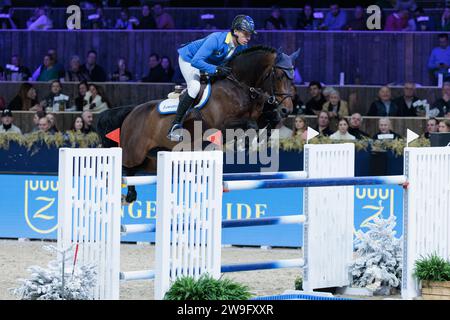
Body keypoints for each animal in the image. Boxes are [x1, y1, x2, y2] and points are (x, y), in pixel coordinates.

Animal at [96, 45, 298, 202]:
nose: (287, 110)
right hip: (134, 152)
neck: (239, 87)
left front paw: (265, 133)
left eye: (292, 77)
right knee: (124, 166)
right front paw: (246, 144)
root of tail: (131, 112)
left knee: (134, 170)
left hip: (150, 159)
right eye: (279, 75)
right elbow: (250, 125)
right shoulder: (221, 125)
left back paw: (130, 194)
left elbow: (264, 122)